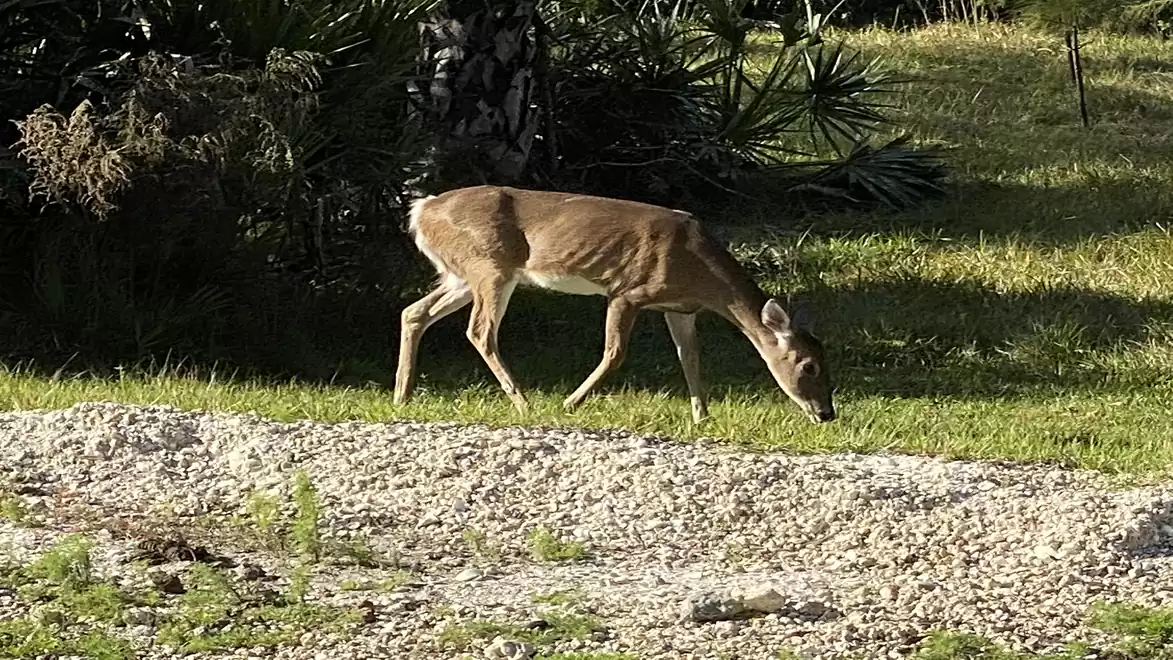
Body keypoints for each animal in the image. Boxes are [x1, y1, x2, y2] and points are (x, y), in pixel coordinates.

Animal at [393, 185, 835, 425]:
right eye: (808, 366)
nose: (827, 412)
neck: (700, 273)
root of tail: (422, 211)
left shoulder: (680, 308)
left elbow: (690, 357)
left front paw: (702, 416)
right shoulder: (628, 291)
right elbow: (615, 352)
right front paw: (571, 402)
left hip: (461, 273)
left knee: (414, 312)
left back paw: (402, 395)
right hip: (491, 264)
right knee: (480, 330)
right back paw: (523, 402)